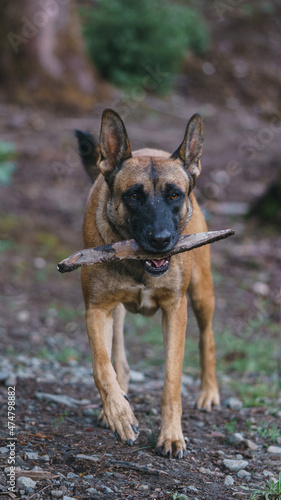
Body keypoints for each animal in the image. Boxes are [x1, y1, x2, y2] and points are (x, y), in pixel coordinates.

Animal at [75, 107, 219, 458]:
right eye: (134, 196)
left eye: (174, 195)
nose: (161, 240)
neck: (138, 264)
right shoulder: (96, 309)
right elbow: (102, 366)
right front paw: (119, 413)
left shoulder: (175, 310)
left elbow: (172, 380)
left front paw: (171, 436)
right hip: (116, 310)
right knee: (119, 360)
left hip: (201, 293)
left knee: (207, 337)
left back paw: (209, 392)